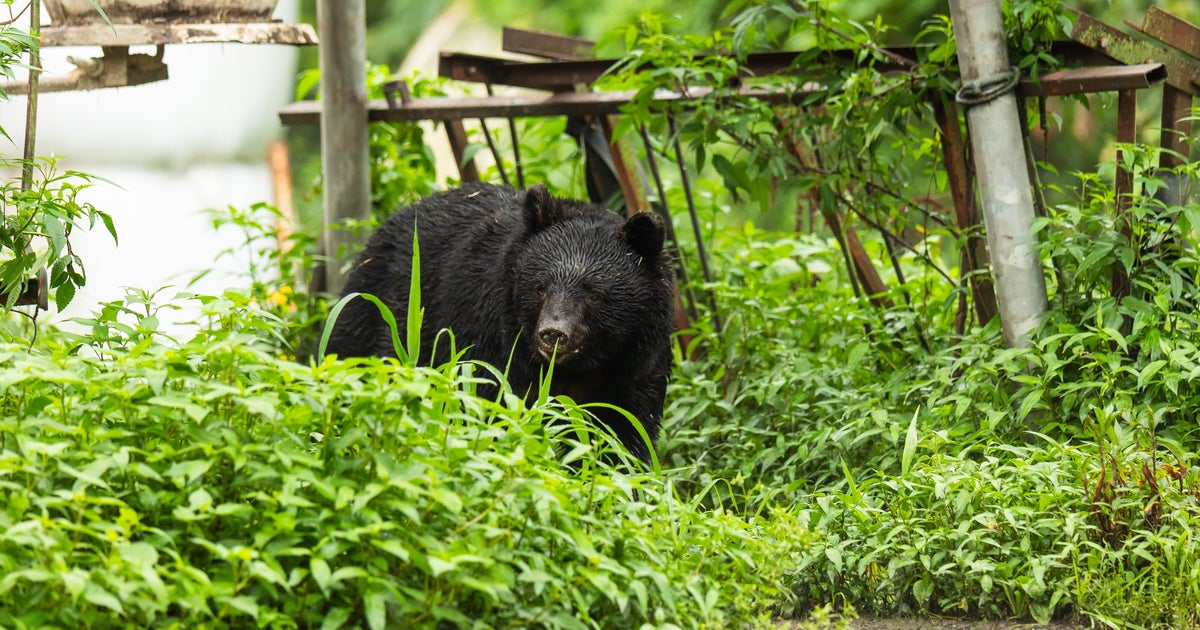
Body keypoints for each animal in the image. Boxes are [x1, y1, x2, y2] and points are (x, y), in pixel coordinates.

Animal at [324, 182, 676, 464]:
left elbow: (621, 433)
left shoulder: (634, 364)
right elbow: (491, 409)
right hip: (373, 312)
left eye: (594, 294)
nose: (553, 333)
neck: (574, 368)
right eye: (540, 287)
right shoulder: (489, 336)